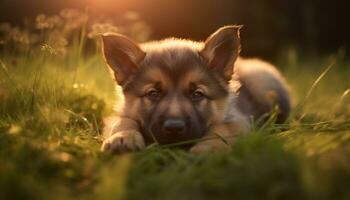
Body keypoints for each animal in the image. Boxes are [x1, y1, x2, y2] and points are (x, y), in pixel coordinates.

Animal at [99, 25, 290, 153]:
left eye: (197, 94)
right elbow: (122, 121)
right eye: (153, 93)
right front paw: (123, 138)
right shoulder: (119, 114)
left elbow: (221, 129)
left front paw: (207, 147)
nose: (174, 128)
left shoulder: (238, 119)